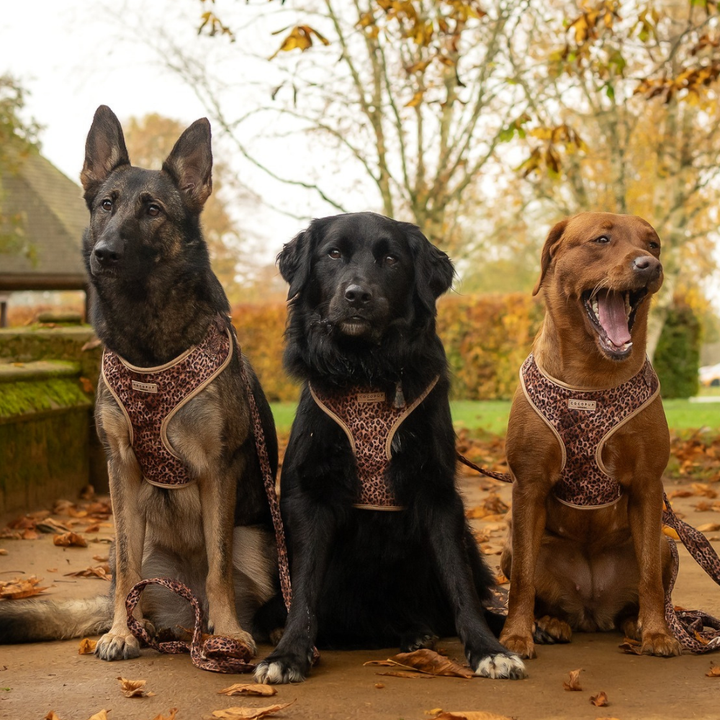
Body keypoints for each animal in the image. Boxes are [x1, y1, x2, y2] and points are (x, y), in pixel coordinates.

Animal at [0, 105, 278, 660]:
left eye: (153, 210)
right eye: (107, 204)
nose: (104, 253)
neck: (149, 341)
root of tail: (187, 608)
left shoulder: (218, 470)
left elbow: (218, 566)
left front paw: (230, 632)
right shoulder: (121, 469)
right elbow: (129, 570)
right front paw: (120, 633)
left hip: (261, 543)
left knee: (230, 585)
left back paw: (230, 630)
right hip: (128, 547)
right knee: (131, 582)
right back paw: (153, 628)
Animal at [256, 212, 524, 680]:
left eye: (391, 259)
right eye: (334, 254)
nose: (357, 296)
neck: (367, 370)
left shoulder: (437, 494)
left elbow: (459, 583)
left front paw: (488, 649)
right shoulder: (310, 498)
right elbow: (303, 591)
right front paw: (288, 654)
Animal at [500, 212, 680, 660]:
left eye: (653, 244)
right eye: (601, 239)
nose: (649, 265)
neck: (591, 376)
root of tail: (592, 609)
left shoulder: (648, 485)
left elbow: (650, 579)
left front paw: (658, 633)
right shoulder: (527, 485)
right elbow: (522, 582)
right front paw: (516, 636)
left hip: (666, 542)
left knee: (646, 582)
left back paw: (635, 623)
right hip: (512, 543)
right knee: (535, 586)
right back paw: (549, 624)